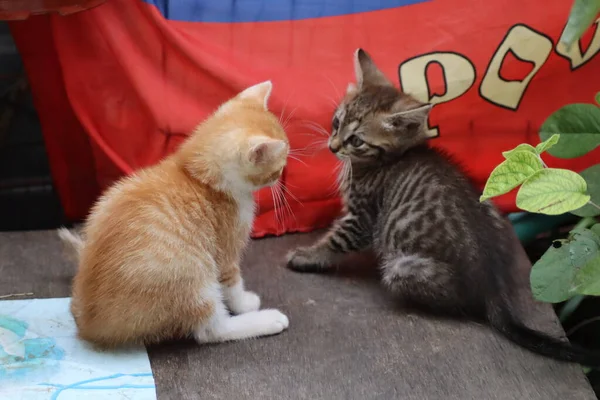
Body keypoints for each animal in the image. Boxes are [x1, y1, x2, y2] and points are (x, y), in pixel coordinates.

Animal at [59, 80, 290, 346]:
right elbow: (232, 282)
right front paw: (244, 303)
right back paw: (267, 320)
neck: (197, 175)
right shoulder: (225, 250)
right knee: (210, 331)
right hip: (191, 274)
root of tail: (89, 326)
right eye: (278, 167)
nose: (282, 178)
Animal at [288, 49, 600, 366]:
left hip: (401, 267)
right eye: (336, 122)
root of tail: (493, 289)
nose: (332, 147)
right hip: (489, 206)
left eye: (356, 140)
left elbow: (336, 240)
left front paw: (306, 256)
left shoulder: (362, 218)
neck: (388, 159)